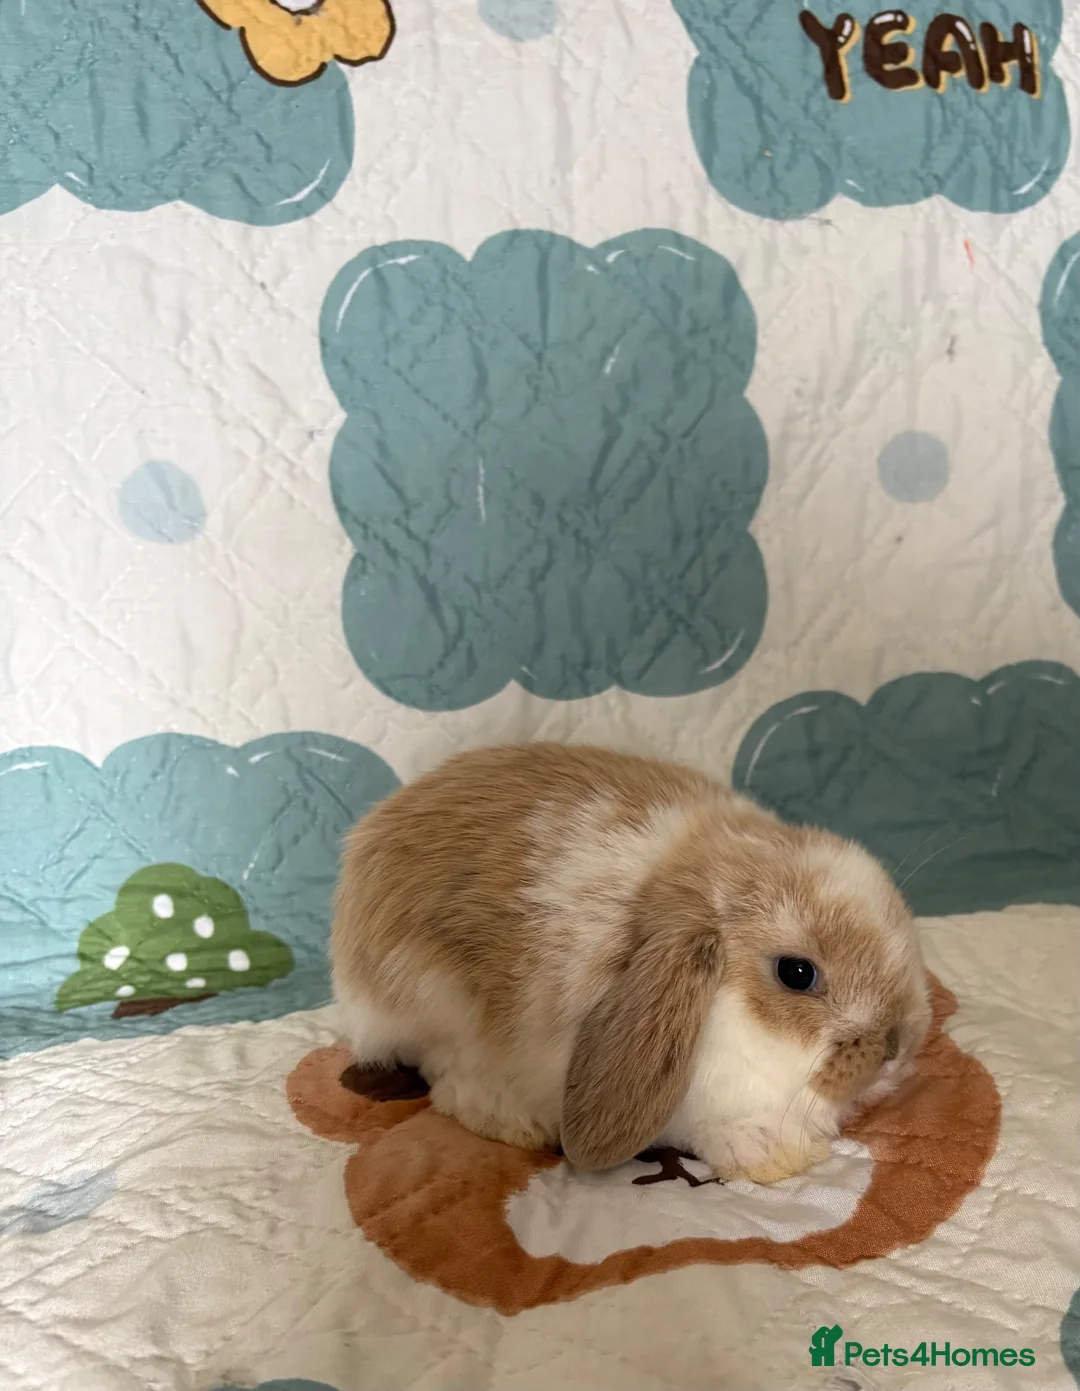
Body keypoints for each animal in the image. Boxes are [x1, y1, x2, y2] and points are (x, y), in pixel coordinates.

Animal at [329, 742, 931, 1185]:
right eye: (797, 973)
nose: (896, 1044)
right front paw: (773, 1156)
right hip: (433, 1002)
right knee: (446, 1079)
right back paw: (515, 1120)